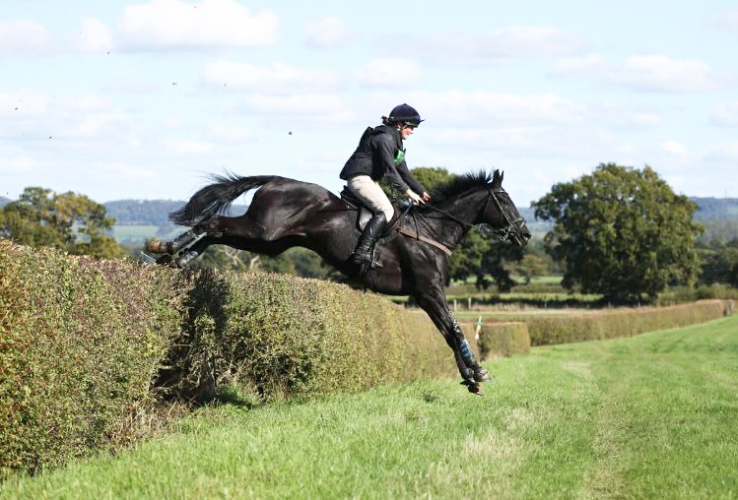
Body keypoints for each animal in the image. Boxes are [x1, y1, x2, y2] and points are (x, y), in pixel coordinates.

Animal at [147, 170, 531, 393]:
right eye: (505, 200)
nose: (525, 234)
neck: (433, 230)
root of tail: (276, 180)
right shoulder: (428, 290)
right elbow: (453, 328)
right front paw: (478, 373)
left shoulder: (425, 294)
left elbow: (448, 331)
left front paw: (470, 378)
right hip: (264, 231)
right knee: (213, 224)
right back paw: (164, 249)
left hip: (269, 242)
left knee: (218, 232)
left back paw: (174, 257)